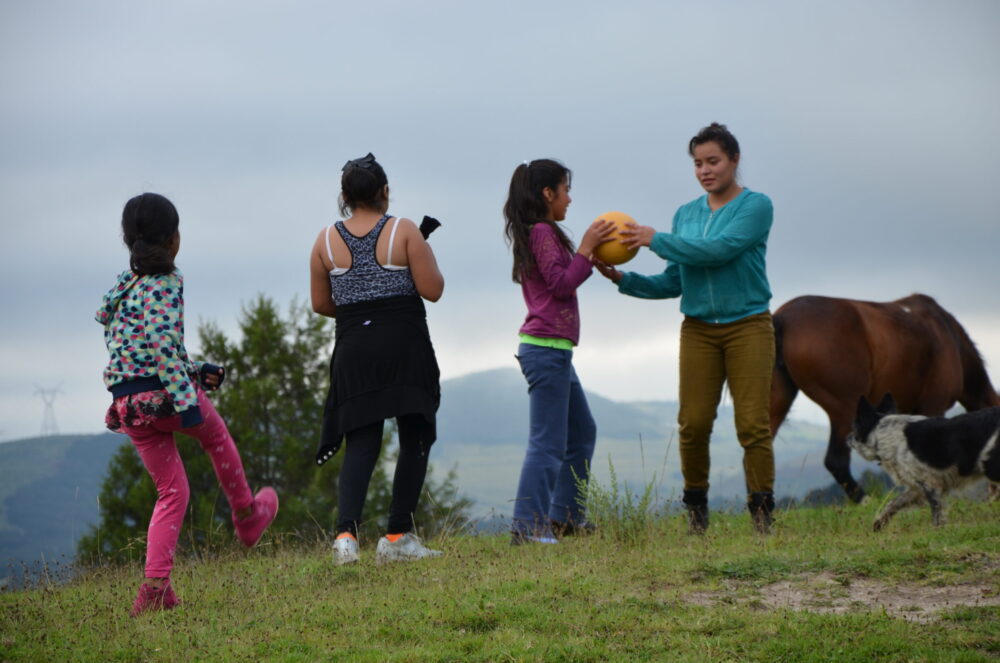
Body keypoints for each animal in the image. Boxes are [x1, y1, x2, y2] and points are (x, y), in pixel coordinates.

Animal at [768, 294, 996, 500]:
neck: (948, 334)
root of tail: (782, 318)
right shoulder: (933, 406)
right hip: (845, 409)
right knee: (836, 461)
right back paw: (865, 501)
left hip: (777, 405)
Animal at [844, 394, 1000, 528]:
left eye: (854, 428)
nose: (847, 437)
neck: (884, 436)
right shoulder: (916, 487)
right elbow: (894, 502)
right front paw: (878, 523)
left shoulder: (930, 484)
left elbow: (936, 512)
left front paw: (938, 532)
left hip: (989, 465)